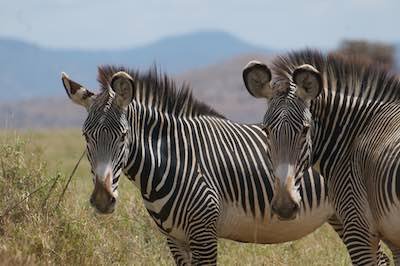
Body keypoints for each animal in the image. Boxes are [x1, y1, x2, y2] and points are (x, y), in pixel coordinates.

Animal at [61, 65, 356, 264]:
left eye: (123, 136)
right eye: (86, 136)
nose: (102, 200)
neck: (176, 159)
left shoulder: (203, 233)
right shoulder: (175, 240)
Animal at [242, 50, 400, 266]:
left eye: (305, 129)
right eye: (266, 130)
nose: (284, 207)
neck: (352, 136)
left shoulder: (358, 225)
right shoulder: (392, 239)